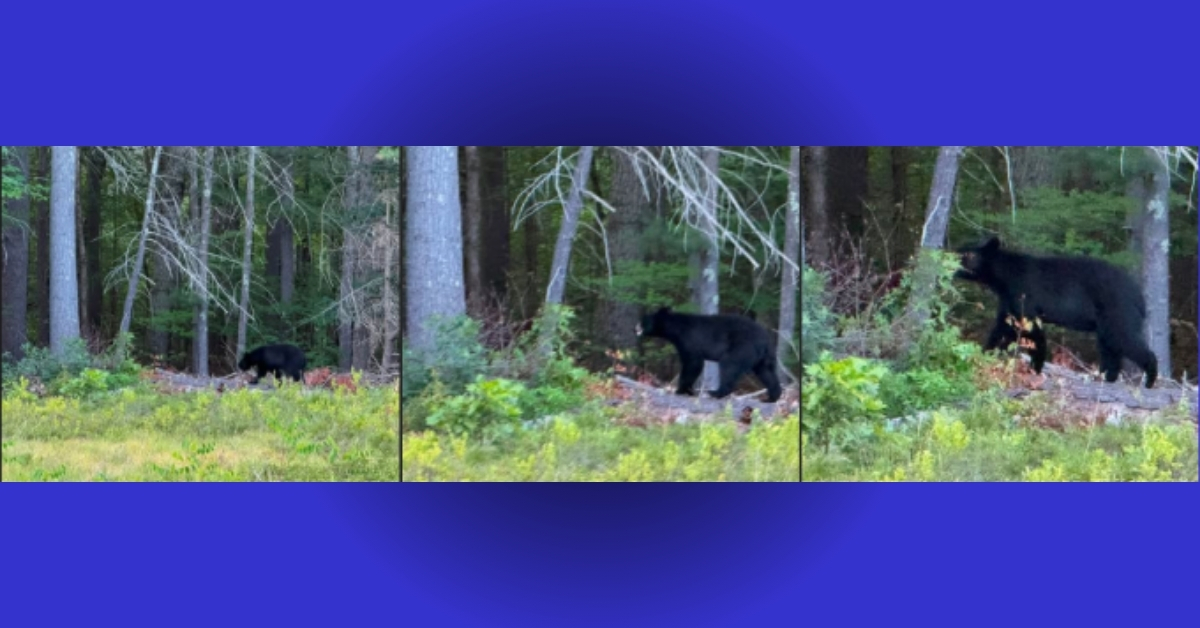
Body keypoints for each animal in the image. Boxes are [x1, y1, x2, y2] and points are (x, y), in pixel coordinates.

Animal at [636, 307, 783, 402]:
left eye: (644, 320)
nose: (636, 327)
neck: (676, 329)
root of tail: (765, 339)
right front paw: (687, 390)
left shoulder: (689, 340)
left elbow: (692, 363)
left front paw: (681, 390)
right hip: (764, 357)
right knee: (767, 372)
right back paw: (772, 397)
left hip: (742, 347)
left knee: (730, 365)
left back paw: (716, 393)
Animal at [954, 236, 1157, 388]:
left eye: (966, 253)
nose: (951, 255)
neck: (1003, 278)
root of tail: (1139, 295)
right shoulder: (1009, 300)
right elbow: (1002, 328)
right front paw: (984, 353)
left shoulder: (1024, 295)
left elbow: (1032, 332)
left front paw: (1035, 368)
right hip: (1106, 320)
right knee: (1109, 345)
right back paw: (1106, 377)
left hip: (1117, 308)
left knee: (1124, 338)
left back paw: (1149, 379)